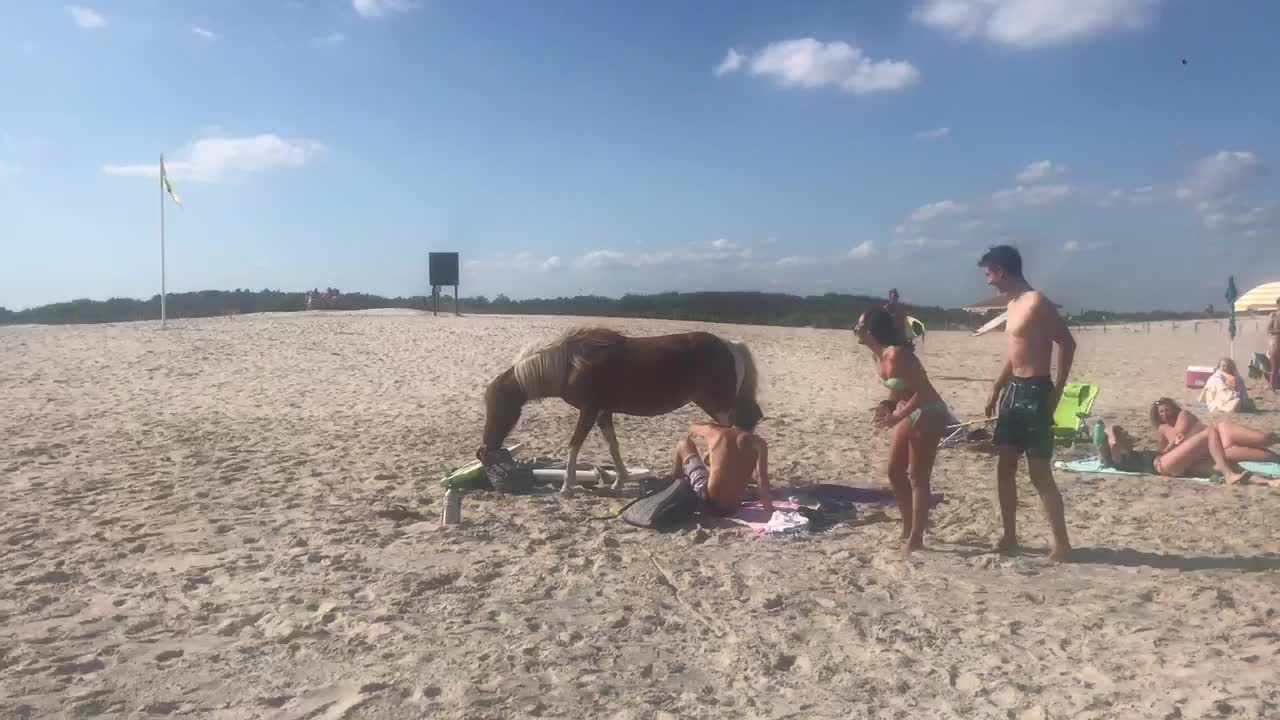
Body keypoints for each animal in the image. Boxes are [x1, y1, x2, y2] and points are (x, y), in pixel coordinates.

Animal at [478, 325, 757, 491]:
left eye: (498, 407)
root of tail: (730, 344)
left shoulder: (589, 410)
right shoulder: (603, 412)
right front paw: (620, 480)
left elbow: (573, 445)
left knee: (730, 433)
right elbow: (613, 446)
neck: (571, 365)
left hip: (718, 406)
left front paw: (568, 486)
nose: (485, 446)